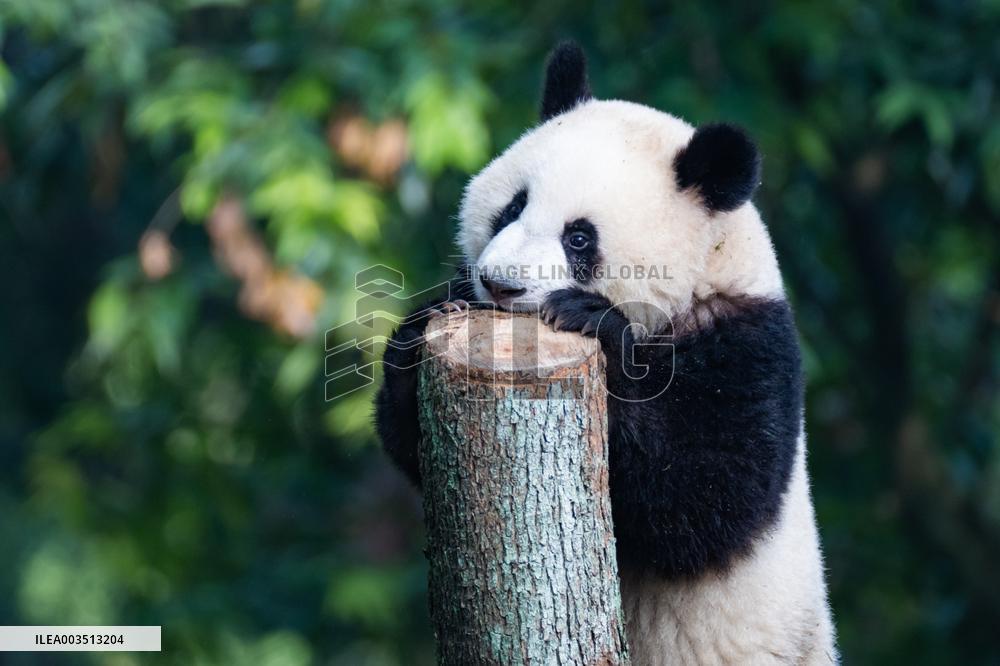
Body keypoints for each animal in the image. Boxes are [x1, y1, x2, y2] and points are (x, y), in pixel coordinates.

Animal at [376, 42, 837, 665]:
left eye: (579, 238)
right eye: (512, 208)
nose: (500, 285)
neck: (703, 270)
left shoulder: (747, 342)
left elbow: (703, 500)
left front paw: (593, 325)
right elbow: (413, 451)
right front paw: (416, 335)